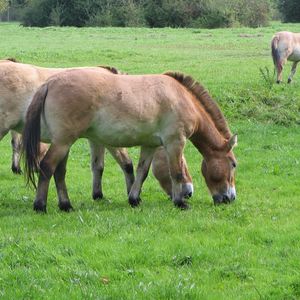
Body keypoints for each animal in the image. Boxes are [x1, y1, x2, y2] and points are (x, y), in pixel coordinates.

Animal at [22, 69, 237, 212]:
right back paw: (40, 205)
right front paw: (180, 202)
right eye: (234, 164)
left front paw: (134, 199)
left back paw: (65, 205)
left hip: (64, 143)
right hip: (63, 142)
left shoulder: (150, 145)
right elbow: (176, 173)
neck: (181, 97)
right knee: (47, 166)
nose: (230, 198)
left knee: (59, 172)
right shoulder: (175, 142)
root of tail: (51, 83)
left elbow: (142, 172)